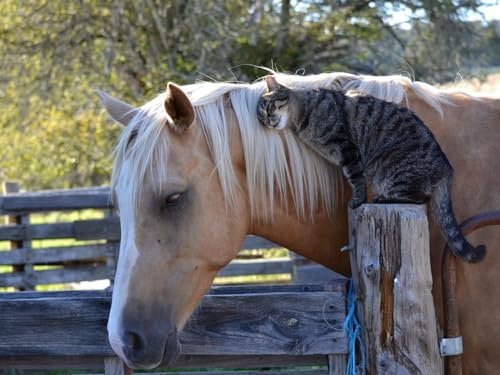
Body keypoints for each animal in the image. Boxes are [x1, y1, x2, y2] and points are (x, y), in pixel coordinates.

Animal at [258, 75, 484, 264]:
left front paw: (356, 200)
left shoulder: (347, 149)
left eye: (269, 107)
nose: (268, 121)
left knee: (418, 198)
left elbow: (356, 179)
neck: (304, 113)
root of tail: (446, 169)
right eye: (261, 118)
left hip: (386, 166)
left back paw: (383, 198)